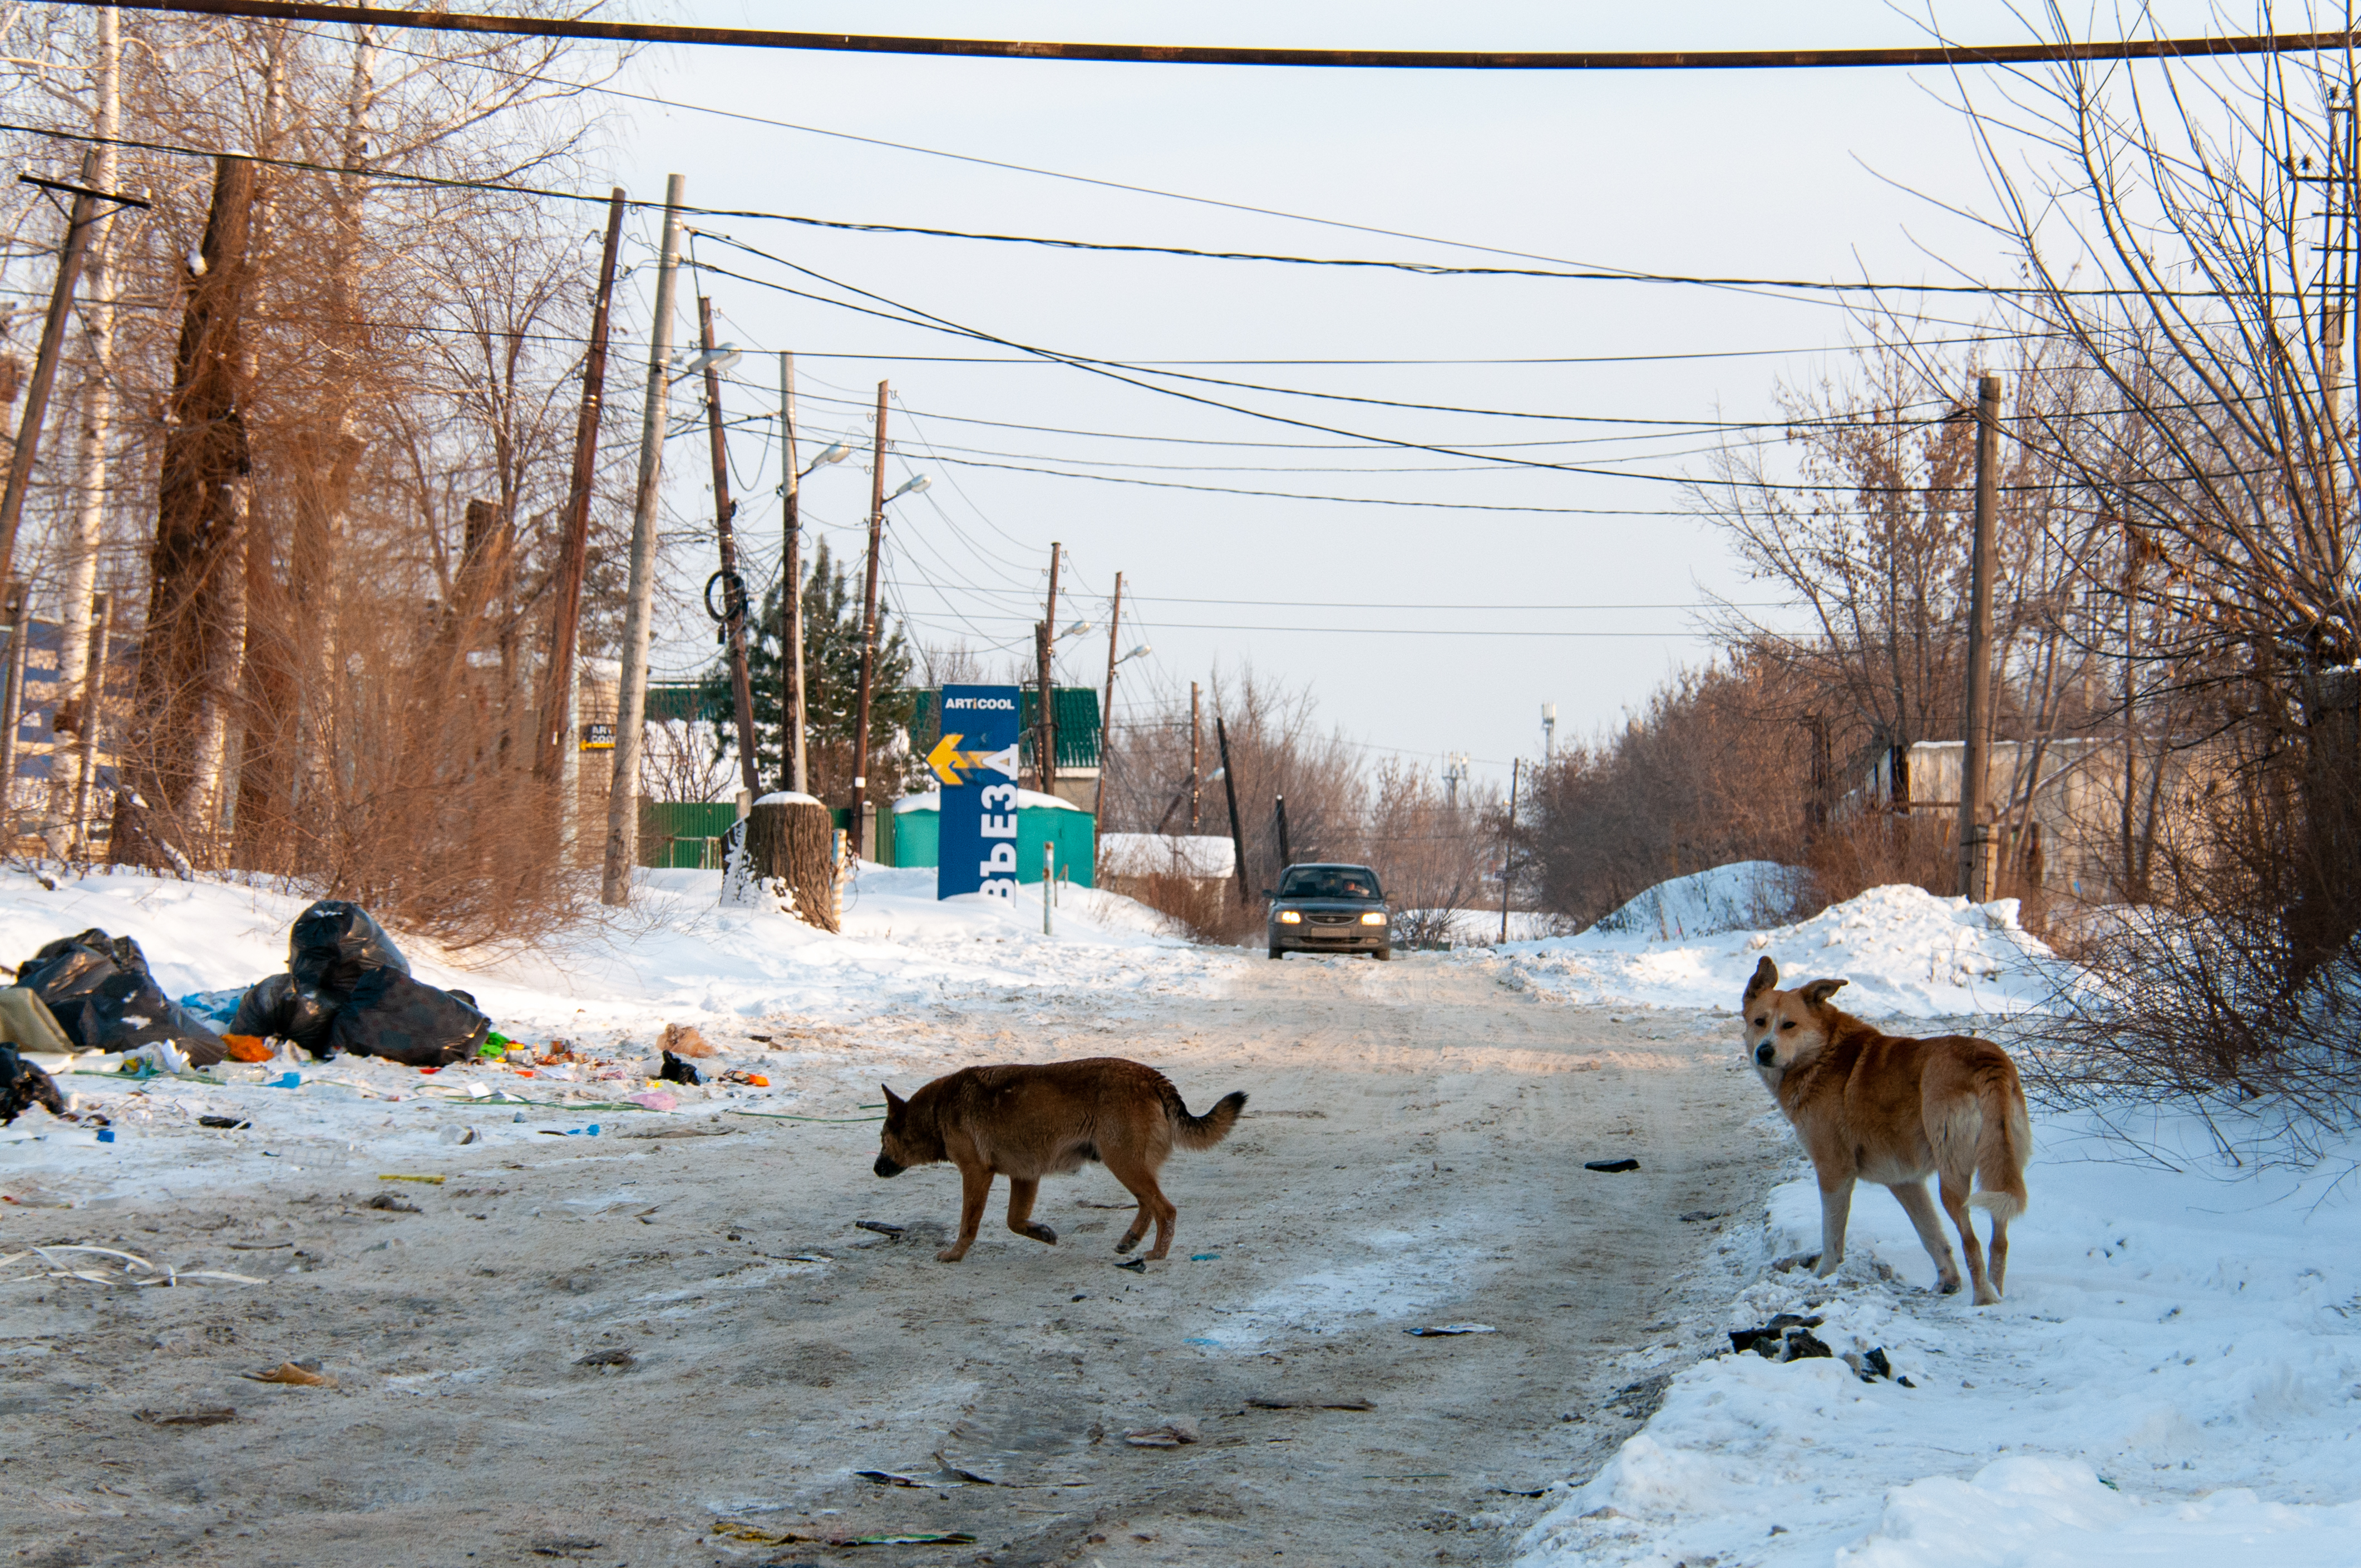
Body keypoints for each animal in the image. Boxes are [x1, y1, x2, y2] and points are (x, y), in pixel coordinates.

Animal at [878, 1053, 1256, 1265]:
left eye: (882, 1140)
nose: (875, 1168)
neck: (937, 1111)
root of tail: (1151, 1076)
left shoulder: (975, 1175)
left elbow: (968, 1225)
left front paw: (955, 1255)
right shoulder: (1025, 1177)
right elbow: (1014, 1222)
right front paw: (1043, 1233)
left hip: (1123, 1164)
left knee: (1166, 1210)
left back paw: (1156, 1255)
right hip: (1128, 1166)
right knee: (1149, 1205)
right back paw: (1131, 1240)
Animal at [1737, 954, 2030, 1294]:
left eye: (1789, 1025)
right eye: (1759, 1022)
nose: (1764, 1052)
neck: (1821, 1055)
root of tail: (1985, 1059)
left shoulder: (1834, 1170)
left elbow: (1831, 1236)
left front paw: (1823, 1277)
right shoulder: (1905, 1181)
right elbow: (1932, 1237)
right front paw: (1947, 1282)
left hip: (1953, 1178)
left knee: (1973, 1242)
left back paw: (1984, 1299)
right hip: (1998, 1168)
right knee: (1999, 1241)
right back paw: (1996, 1293)